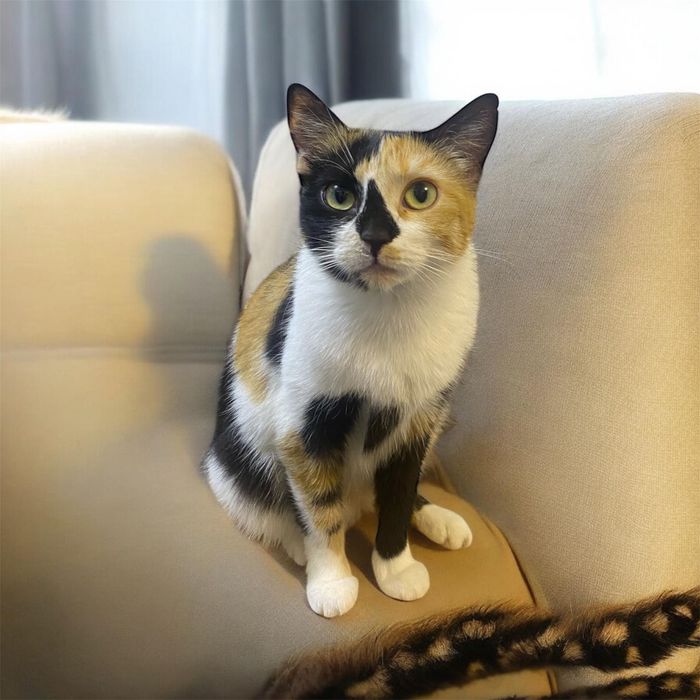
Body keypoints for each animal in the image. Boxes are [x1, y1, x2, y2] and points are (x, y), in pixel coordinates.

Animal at [202, 83, 498, 618]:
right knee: (278, 505)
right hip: (240, 461)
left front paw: (396, 568)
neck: (389, 314)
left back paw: (440, 520)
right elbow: (320, 510)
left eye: (421, 193)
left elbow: (399, 493)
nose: (376, 234)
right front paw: (333, 580)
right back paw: (298, 543)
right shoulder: (305, 426)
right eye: (339, 195)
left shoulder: (418, 419)